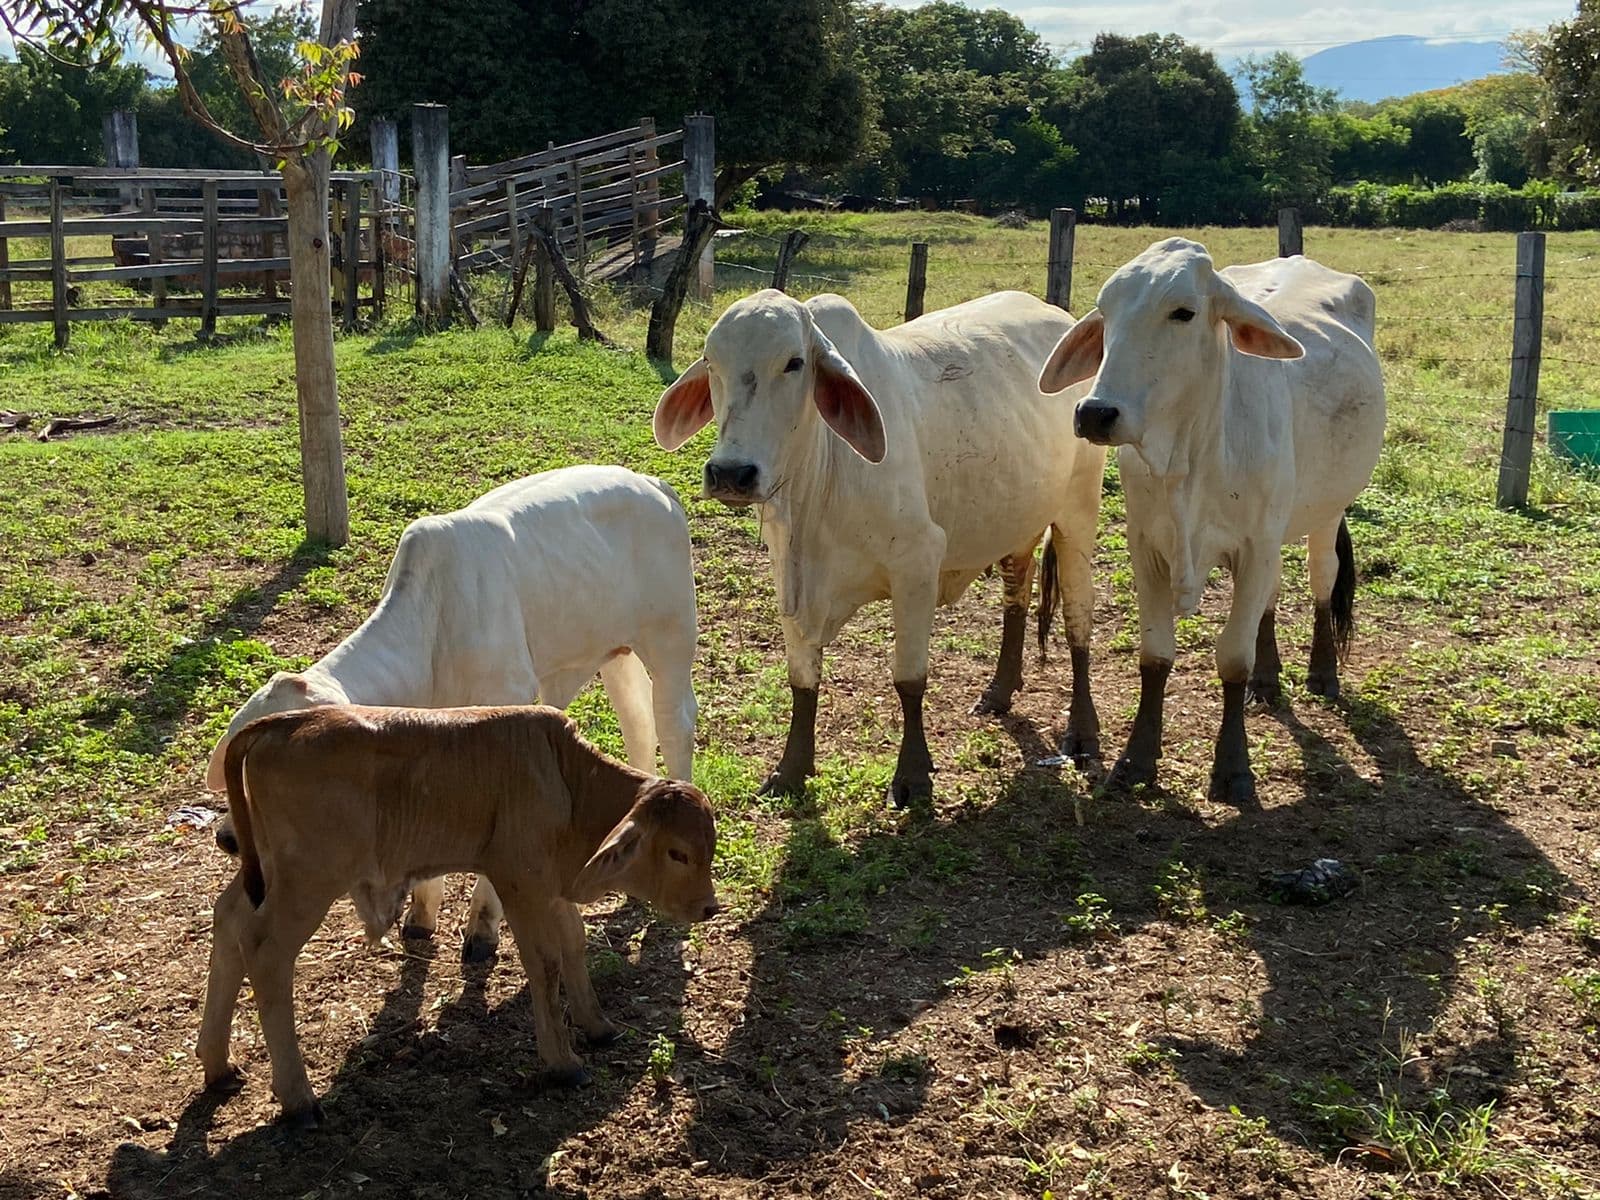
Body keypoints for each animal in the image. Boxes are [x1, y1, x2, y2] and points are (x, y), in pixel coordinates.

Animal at [197, 704, 720, 1126]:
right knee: (265, 950)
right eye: (677, 853)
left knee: (228, 920)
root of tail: (283, 723)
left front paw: (598, 1026)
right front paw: (563, 1063)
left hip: (267, 872)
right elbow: (545, 961)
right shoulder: (519, 882)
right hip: (308, 878)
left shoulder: (553, 884)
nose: (709, 907)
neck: (567, 781)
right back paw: (299, 1101)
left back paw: (217, 1065)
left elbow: (575, 944)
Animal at [205, 464, 699, 961]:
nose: (228, 838)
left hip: (671, 638)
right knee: (637, 723)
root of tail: (653, 483)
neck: (433, 629)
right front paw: (421, 916)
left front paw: (483, 927)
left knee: (674, 722)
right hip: (613, 650)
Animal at [652, 289, 1107, 806]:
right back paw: (999, 692)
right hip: (1016, 517)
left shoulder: (918, 564)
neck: (821, 482)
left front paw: (913, 777)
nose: (731, 473)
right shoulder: (789, 576)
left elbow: (909, 679)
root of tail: (1058, 315)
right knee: (1017, 593)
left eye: (793, 363)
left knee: (1077, 618)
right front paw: (791, 770)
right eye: (712, 362)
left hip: (1078, 510)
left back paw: (1082, 732)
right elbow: (802, 680)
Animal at [1037, 238, 1386, 803]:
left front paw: (1233, 768)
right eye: (1107, 312)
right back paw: (1268, 681)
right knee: (1271, 596)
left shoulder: (1256, 543)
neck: (1189, 459)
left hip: (1327, 511)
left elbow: (1232, 658)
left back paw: (1322, 672)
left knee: (1322, 579)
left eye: (1184, 312)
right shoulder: (1148, 547)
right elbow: (1156, 653)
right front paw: (1136, 760)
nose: (1095, 413)